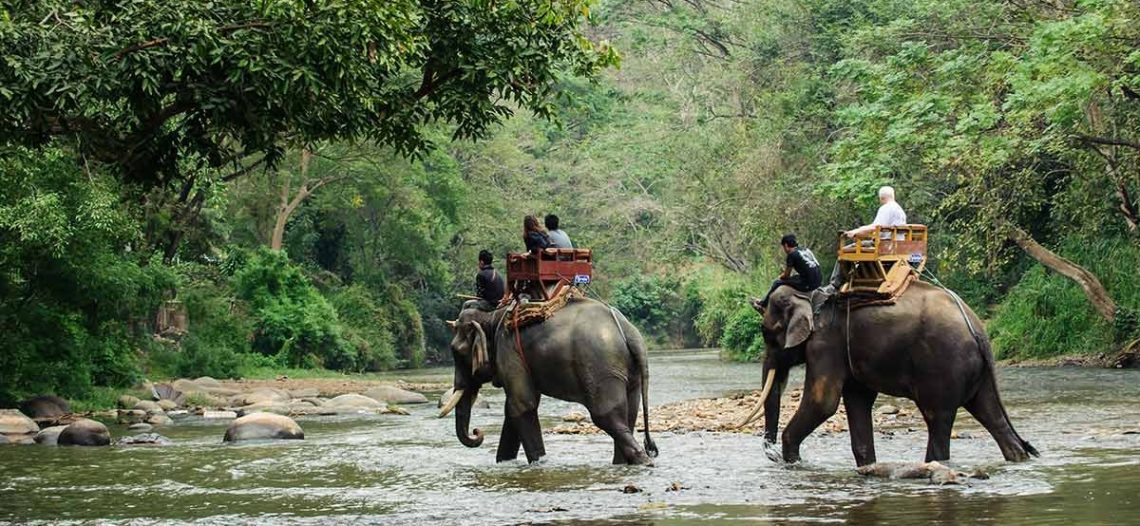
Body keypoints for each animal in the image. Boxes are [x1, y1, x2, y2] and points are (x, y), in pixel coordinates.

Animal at [440, 297, 658, 465]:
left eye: (456, 352)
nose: (477, 432)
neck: (493, 315)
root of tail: (630, 332)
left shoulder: (509, 351)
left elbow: (522, 405)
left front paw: (539, 463)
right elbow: (513, 409)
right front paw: (504, 462)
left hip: (601, 367)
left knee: (606, 416)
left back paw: (644, 461)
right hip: (628, 372)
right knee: (628, 414)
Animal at [743, 282, 1038, 466]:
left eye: (766, 333)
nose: (771, 454)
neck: (807, 294)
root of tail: (978, 330)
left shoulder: (825, 345)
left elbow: (822, 403)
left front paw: (794, 462)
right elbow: (857, 400)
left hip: (943, 367)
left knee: (938, 419)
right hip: (978, 373)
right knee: (991, 414)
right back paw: (1018, 458)